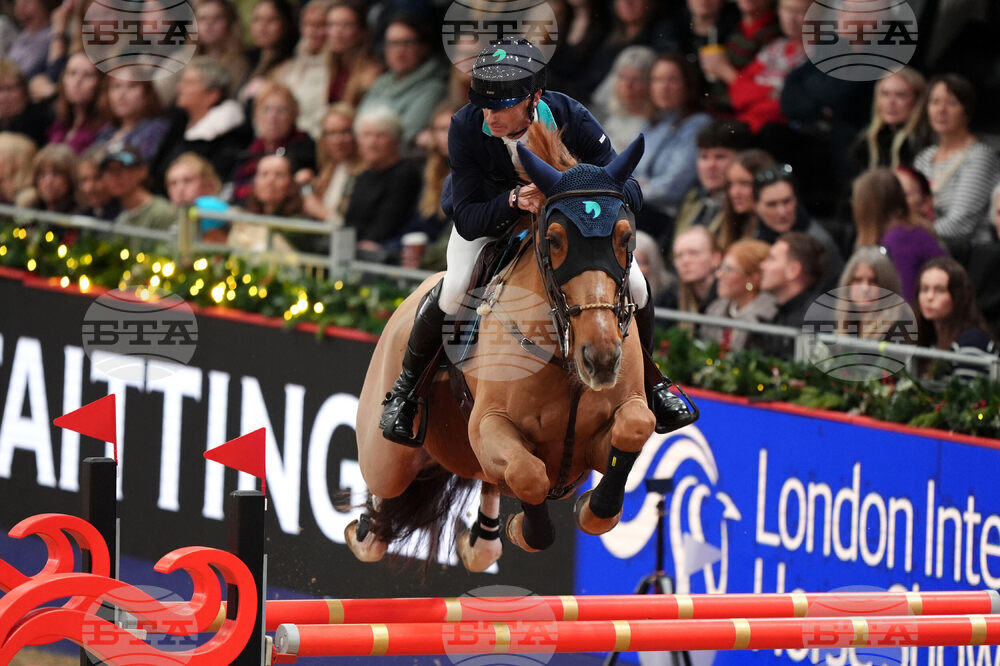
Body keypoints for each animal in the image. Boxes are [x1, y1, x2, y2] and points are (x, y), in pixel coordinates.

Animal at [348, 128, 657, 572]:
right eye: (554, 240)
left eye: (625, 237)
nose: (600, 359)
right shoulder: (489, 425)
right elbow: (529, 474)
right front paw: (525, 531)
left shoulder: (609, 430)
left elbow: (636, 426)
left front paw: (589, 512)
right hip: (388, 455)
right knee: (382, 489)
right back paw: (368, 525)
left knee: (487, 485)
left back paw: (483, 539)